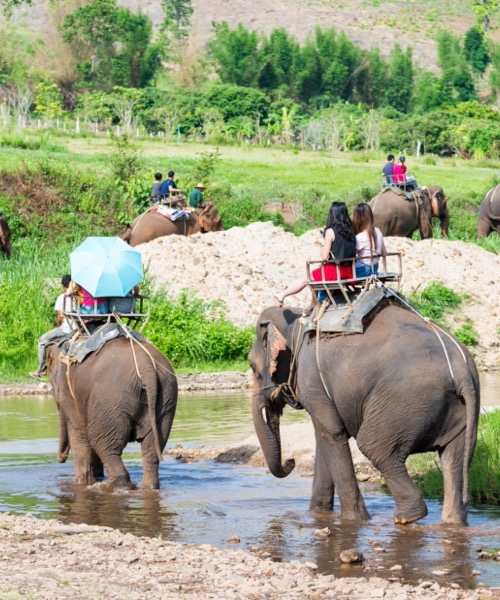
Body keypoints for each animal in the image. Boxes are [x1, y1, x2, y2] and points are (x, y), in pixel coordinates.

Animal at [45, 336, 178, 490]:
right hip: (166, 399)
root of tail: (147, 369)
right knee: (151, 450)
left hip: (111, 401)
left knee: (102, 443)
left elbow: (80, 437)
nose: (60, 459)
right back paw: (147, 487)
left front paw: (83, 483)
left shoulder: (70, 394)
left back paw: (110, 487)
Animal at [249, 304, 480, 524]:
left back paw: (407, 517)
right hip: (460, 408)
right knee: (454, 458)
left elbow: (332, 433)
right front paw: (318, 515)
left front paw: (353, 520)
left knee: (374, 447)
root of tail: (460, 370)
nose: (291, 461)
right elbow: (323, 437)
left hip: (405, 401)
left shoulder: (310, 378)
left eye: (252, 367)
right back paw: (451, 522)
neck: (296, 322)